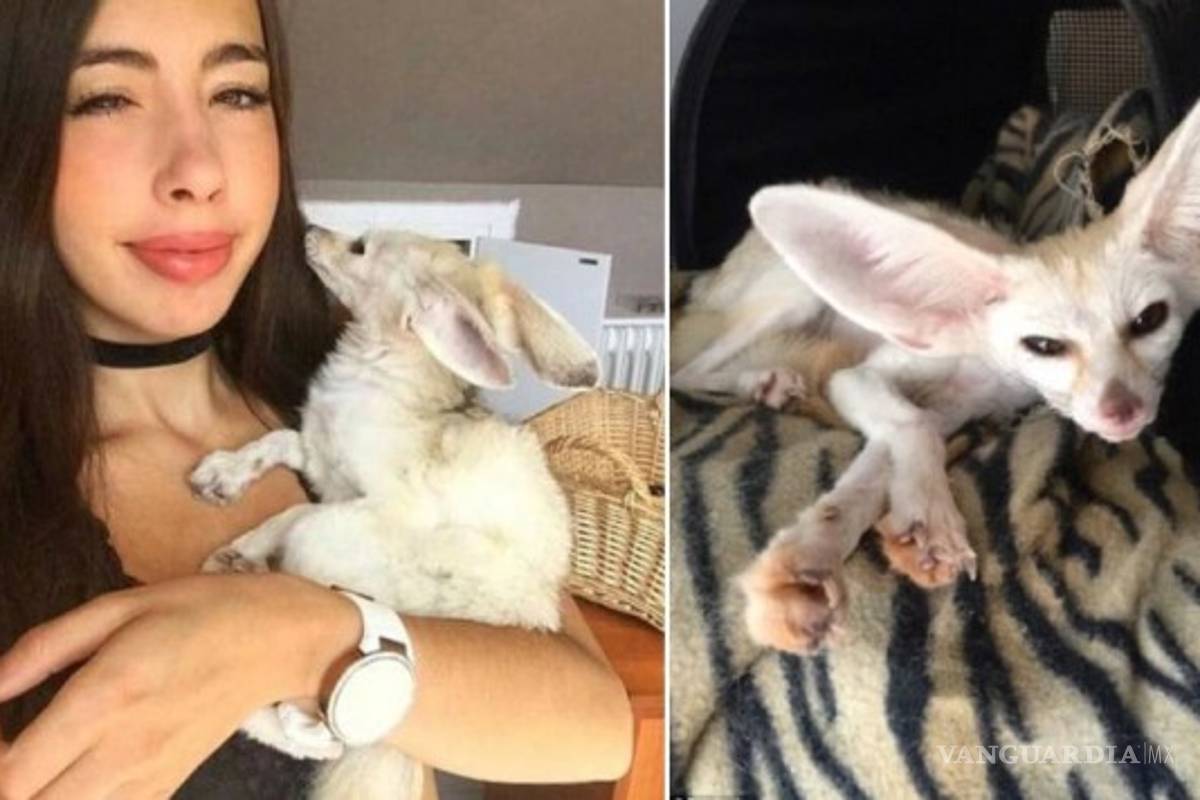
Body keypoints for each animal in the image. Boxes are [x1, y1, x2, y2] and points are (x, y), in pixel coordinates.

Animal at [671, 98, 1200, 656]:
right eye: (1043, 346)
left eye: (1149, 321)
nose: (1122, 412)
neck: (987, 363)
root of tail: (717, 270)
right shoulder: (862, 378)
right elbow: (910, 427)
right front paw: (926, 518)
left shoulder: (956, 406)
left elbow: (876, 469)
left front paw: (818, 550)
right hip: (792, 298)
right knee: (686, 368)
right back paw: (760, 381)